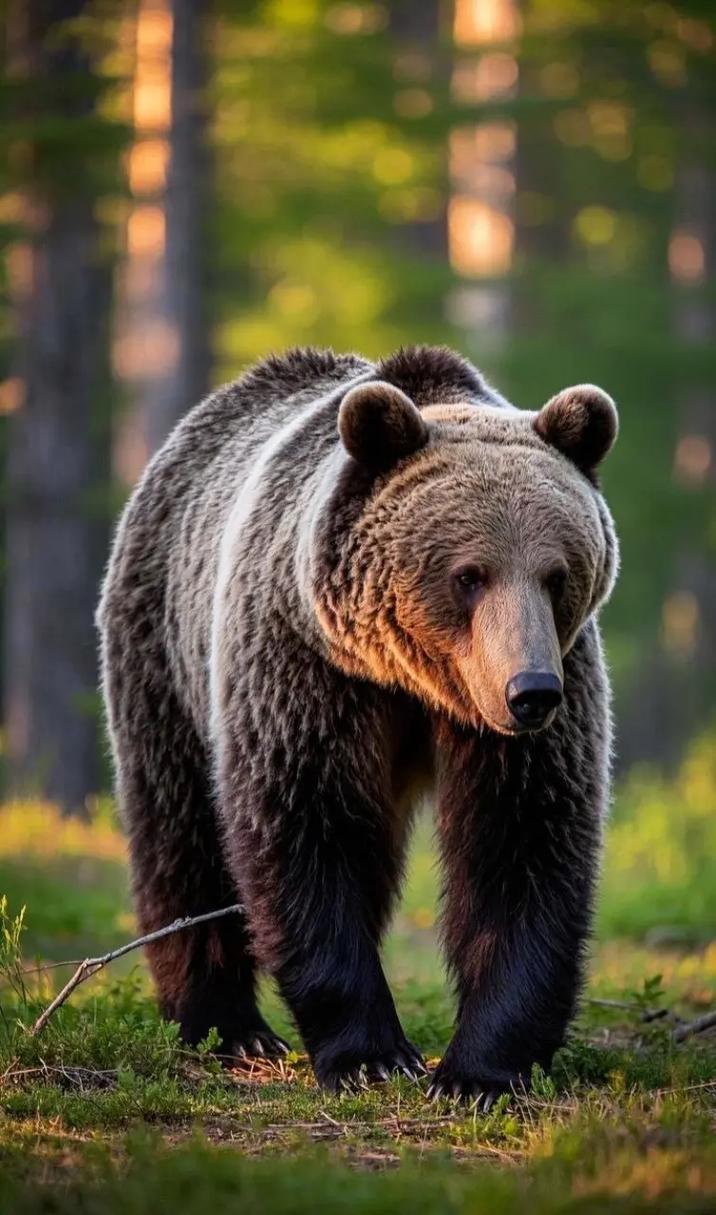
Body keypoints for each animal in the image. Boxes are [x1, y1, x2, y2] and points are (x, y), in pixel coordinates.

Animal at [98, 345, 619, 1103]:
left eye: (556, 574)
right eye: (470, 575)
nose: (530, 693)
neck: (414, 681)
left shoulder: (545, 691)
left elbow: (519, 842)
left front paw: (479, 1071)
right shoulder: (307, 668)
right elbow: (304, 828)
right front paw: (373, 1056)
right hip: (163, 648)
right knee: (178, 827)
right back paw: (227, 1028)